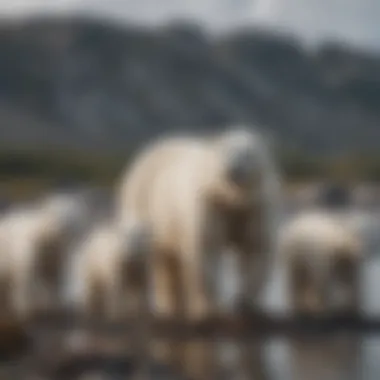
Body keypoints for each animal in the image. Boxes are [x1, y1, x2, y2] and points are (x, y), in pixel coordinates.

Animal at [117, 127, 280, 380]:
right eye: (225, 151)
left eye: (247, 153)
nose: (231, 169)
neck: (231, 198)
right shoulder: (209, 205)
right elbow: (206, 251)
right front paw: (209, 312)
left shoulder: (255, 208)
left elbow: (256, 250)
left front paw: (248, 307)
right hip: (146, 205)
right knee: (160, 261)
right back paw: (168, 308)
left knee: (170, 263)